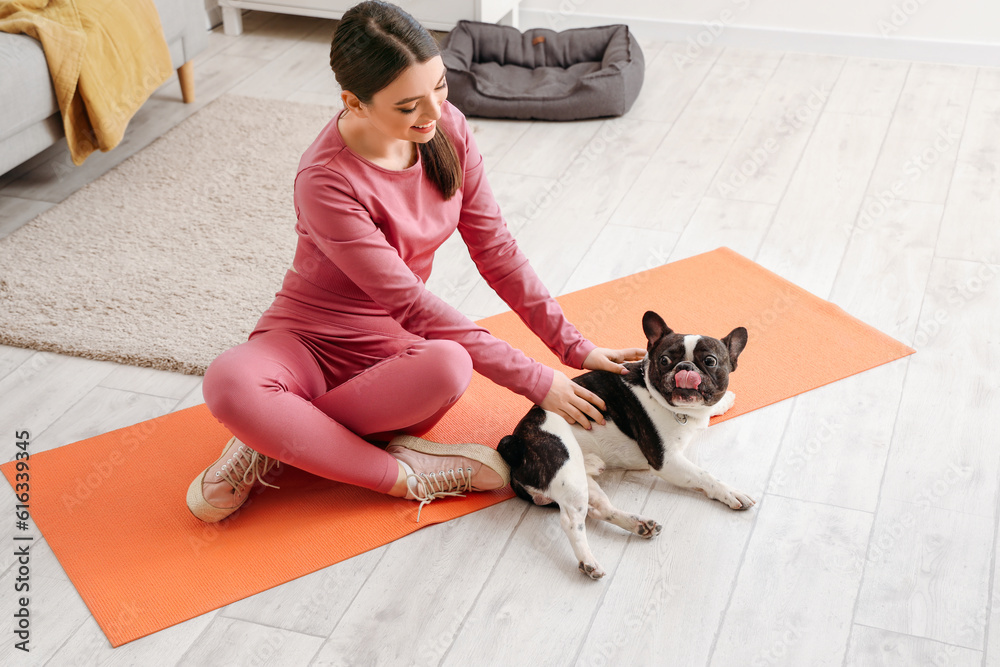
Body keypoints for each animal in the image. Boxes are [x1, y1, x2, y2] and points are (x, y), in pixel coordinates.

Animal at [498, 312, 752, 580]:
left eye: (710, 361)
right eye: (664, 360)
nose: (684, 367)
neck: (678, 411)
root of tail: (516, 444)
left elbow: (709, 411)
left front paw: (724, 401)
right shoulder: (667, 461)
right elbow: (706, 476)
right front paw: (731, 492)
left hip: (580, 480)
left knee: (599, 509)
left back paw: (638, 525)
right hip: (566, 473)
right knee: (571, 522)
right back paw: (589, 562)